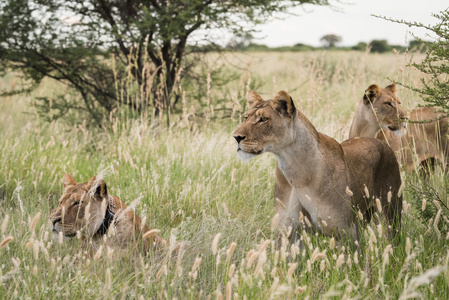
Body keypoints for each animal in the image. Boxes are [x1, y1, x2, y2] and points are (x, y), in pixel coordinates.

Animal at [233, 91, 400, 246]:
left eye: (263, 119)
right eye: (246, 117)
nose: (236, 137)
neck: (296, 173)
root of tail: (379, 142)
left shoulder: (345, 231)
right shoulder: (288, 231)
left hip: (390, 212)